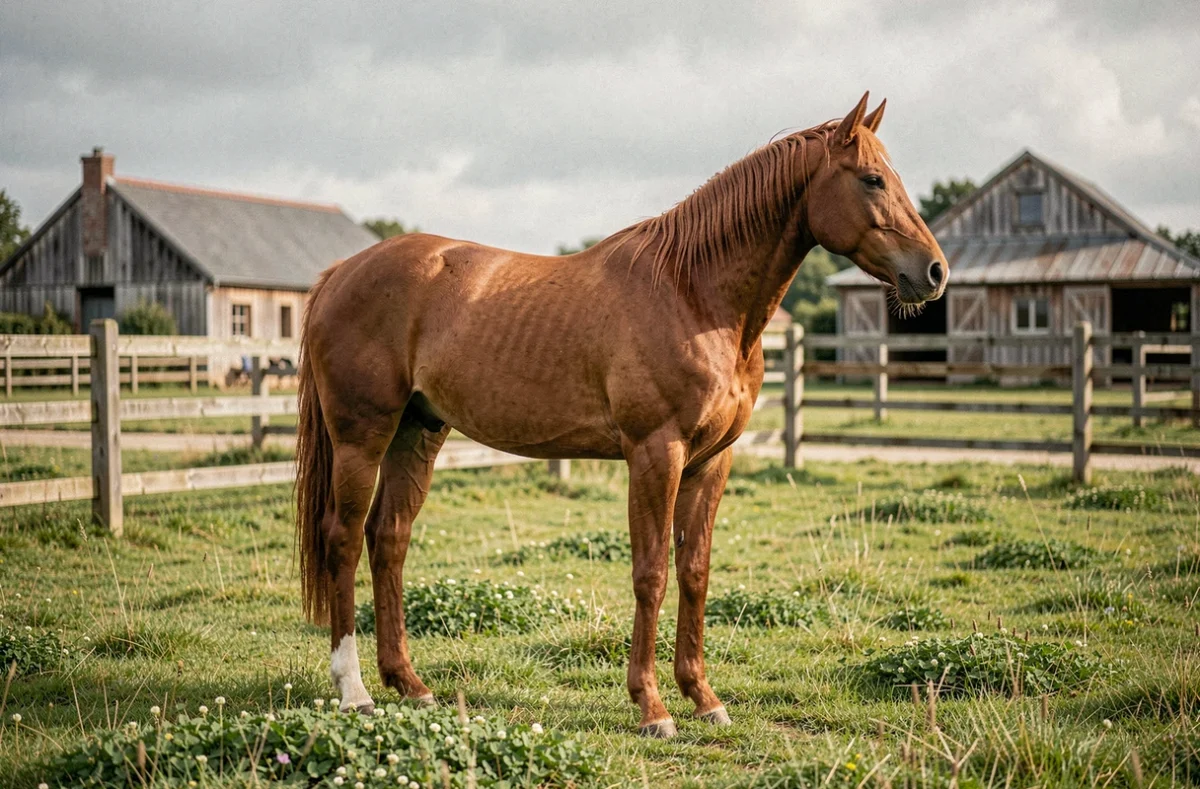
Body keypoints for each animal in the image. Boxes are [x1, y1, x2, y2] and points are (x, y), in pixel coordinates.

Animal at [295, 92, 947, 737]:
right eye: (871, 179)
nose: (934, 271)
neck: (694, 294)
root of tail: (339, 274)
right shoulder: (656, 454)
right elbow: (651, 572)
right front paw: (653, 707)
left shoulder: (711, 462)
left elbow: (695, 571)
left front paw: (703, 697)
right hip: (363, 437)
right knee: (344, 540)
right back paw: (354, 692)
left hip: (419, 433)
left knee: (389, 538)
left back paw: (411, 684)